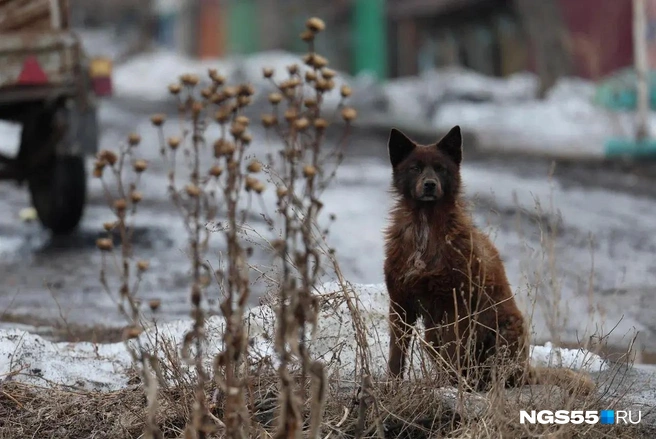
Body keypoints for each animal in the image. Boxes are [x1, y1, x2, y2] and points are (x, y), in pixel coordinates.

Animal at [383, 125, 595, 395]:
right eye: (415, 168)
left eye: (440, 168)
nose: (430, 185)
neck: (425, 226)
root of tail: (527, 370)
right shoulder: (400, 303)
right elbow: (396, 353)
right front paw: (392, 386)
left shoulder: (455, 306)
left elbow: (452, 352)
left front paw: (447, 388)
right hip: (432, 336)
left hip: (504, 331)